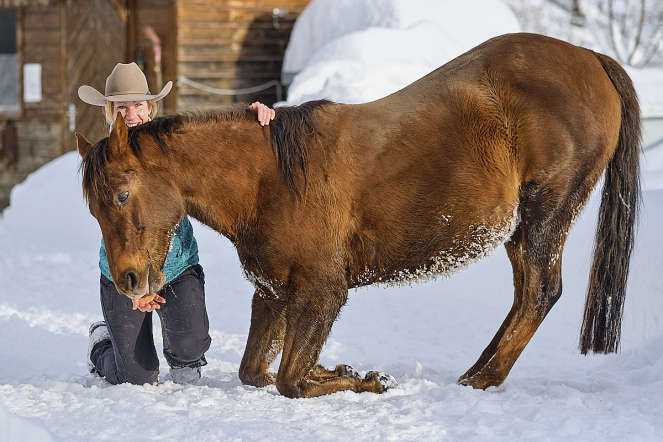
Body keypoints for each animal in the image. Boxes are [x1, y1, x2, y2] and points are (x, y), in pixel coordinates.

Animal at [75, 34, 640, 398]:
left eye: (122, 195)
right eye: (93, 208)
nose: (127, 281)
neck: (271, 180)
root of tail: (591, 58)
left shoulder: (321, 293)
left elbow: (290, 380)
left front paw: (365, 380)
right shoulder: (274, 292)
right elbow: (256, 372)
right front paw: (342, 370)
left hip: (545, 215)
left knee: (540, 293)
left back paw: (483, 379)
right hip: (523, 230)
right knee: (527, 295)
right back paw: (477, 372)